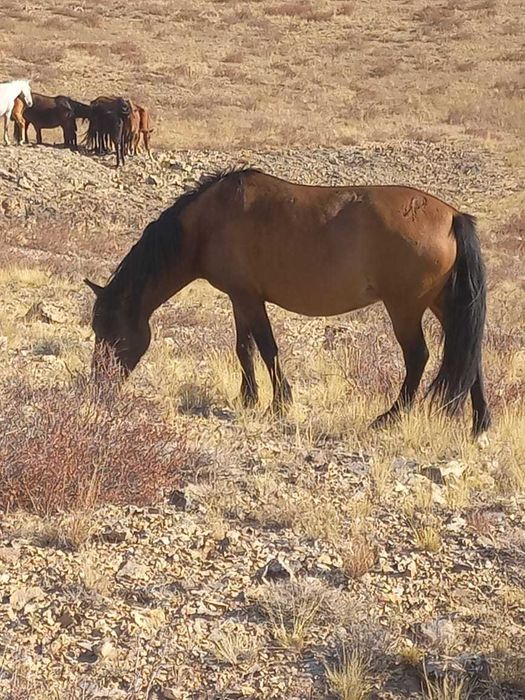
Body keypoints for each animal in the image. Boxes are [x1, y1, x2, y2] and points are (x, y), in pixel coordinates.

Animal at [85, 168, 491, 436]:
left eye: (110, 330)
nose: (98, 385)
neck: (208, 222)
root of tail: (452, 216)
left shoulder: (250, 298)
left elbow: (267, 347)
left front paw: (280, 402)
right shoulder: (240, 297)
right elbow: (244, 347)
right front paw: (249, 398)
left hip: (405, 309)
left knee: (418, 357)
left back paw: (389, 417)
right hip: (445, 305)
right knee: (468, 356)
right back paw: (480, 424)